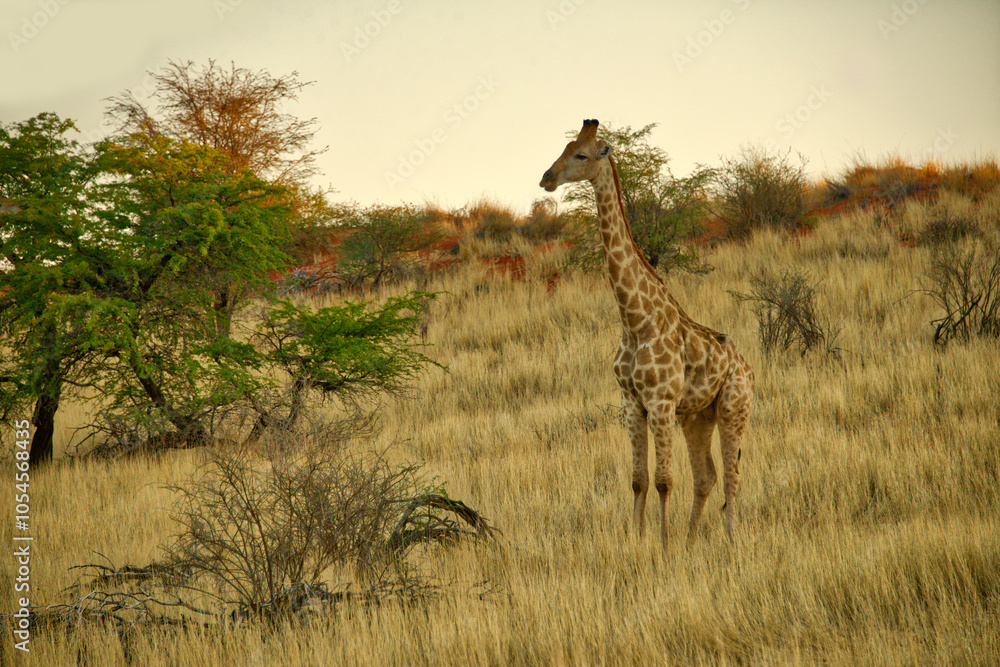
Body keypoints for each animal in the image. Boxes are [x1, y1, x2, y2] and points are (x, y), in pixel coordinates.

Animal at [539, 119, 754, 549]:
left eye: (581, 155)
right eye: (564, 147)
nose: (546, 178)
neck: (635, 320)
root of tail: (747, 367)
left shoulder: (660, 402)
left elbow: (663, 481)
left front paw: (664, 546)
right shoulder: (631, 403)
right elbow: (638, 480)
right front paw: (637, 541)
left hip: (733, 409)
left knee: (732, 477)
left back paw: (730, 542)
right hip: (698, 416)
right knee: (707, 476)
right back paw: (691, 542)